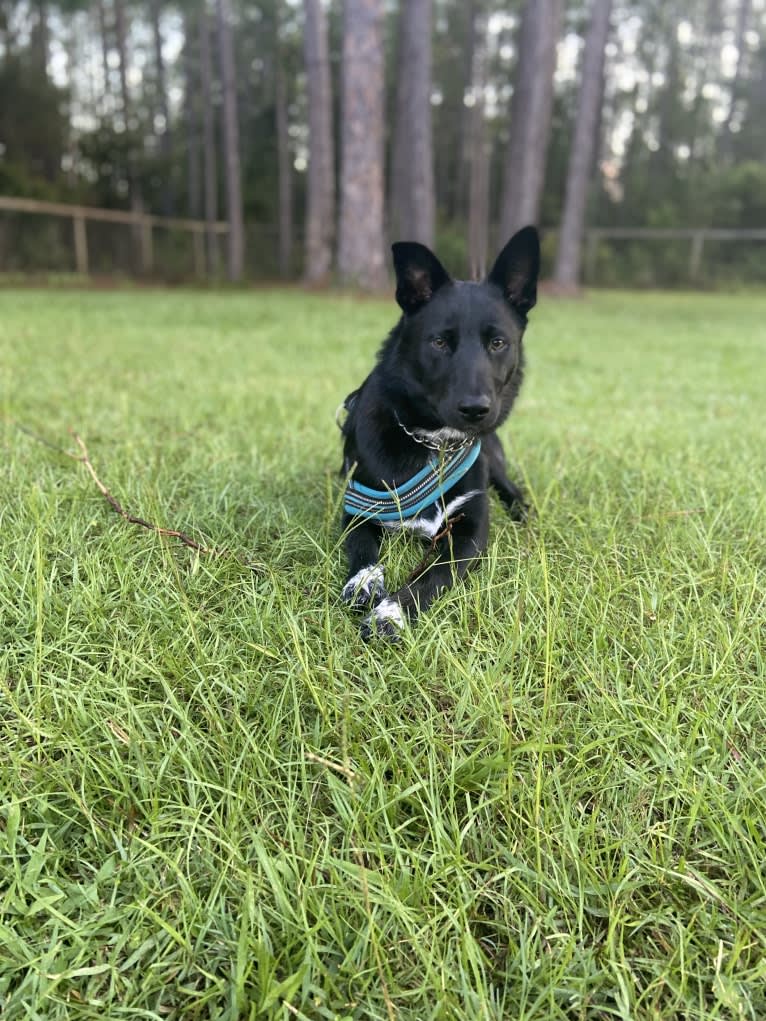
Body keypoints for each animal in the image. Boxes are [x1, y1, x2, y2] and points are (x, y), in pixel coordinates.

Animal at [339, 226, 543, 637]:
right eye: (439, 342)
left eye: (498, 342)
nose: (476, 409)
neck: (435, 444)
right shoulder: (357, 509)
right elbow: (363, 549)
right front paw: (365, 582)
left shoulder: (469, 532)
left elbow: (433, 573)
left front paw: (392, 613)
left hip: (495, 462)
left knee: (511, 490)